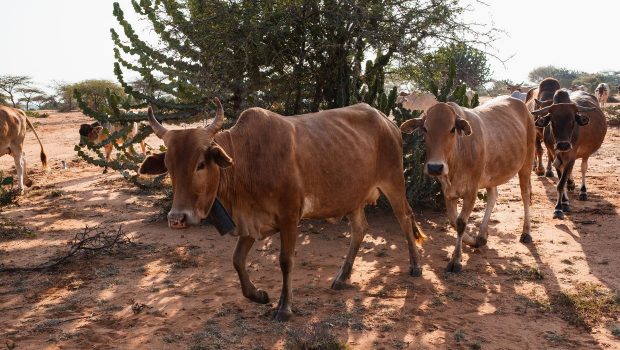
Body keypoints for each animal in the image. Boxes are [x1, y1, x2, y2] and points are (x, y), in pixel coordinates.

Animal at [139, 100, 426, 322]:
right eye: (168, 166)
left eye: (200, 164)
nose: (177, 218)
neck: (247, 160)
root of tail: (387, 121)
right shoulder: (251, 221)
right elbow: (237, 260)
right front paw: (258, 295)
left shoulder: (289, 217)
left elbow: (285, 261)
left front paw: (284, 308)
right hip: (352, 197)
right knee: (360, 229)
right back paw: (342, 277)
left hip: (394, 182)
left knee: (405, 219)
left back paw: (415, 267)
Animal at [400, 96, 536, 274]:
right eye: (425, 128)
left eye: (452, 129)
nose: (435, 167)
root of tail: (522, 105)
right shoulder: (448, 191)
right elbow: (453, 221)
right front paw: (474, 241)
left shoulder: (471, 191)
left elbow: (461, 223)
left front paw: (456, 260)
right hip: (491, 175)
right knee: (493, 196)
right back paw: (482, 234)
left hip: (527, 163)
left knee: (525, 195)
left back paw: (526, 232)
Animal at [532, 89, 608, 219]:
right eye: (553, 121)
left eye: (573, 121)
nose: (563, 145)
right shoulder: (555, 156)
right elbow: (561, 182)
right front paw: (564, 203)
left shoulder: (571, 155)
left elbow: (561, 182)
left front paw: (559, 208)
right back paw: (571, 184)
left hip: (586, 154)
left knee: (583, 168)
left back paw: (583, 192)